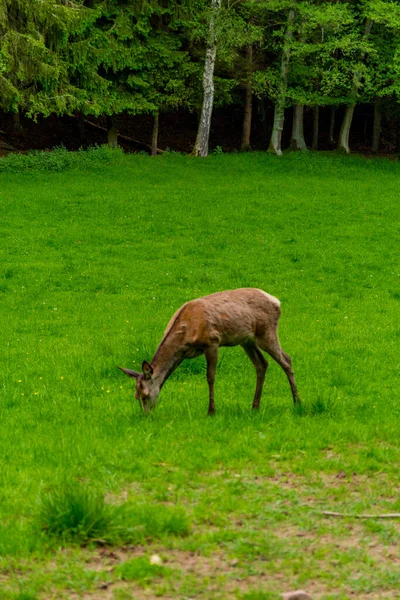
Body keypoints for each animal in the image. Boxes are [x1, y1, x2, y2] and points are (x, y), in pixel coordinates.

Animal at [117, 288, 298, 414]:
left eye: (146, 395)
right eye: (136, 396)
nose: (146, 415)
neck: (186, 333)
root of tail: (276, 301)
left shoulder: (212, 341)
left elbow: (210, 377)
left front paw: (211, 410)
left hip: (266, 331)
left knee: (287, 360)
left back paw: (297, 402)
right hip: (247, 340)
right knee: (262, 364)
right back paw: (255, 407)